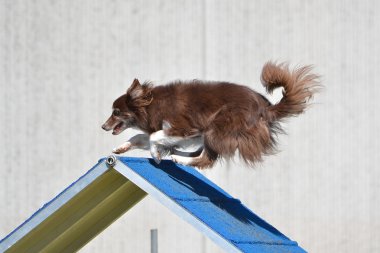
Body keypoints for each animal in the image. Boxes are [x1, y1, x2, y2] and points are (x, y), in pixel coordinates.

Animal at [102, 62, 320, 169]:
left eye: (116, 112)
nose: (103, 127)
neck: (152, 104)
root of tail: (265, 108)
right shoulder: (185, 134)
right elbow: (142, 137)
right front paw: (121, 148)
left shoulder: (184, 128)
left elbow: (154, 137)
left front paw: (156, 155)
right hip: (211, 132)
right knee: (203, 155)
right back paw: (176, 155)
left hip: (217, 127)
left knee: (206, 159)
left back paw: (179, 159)